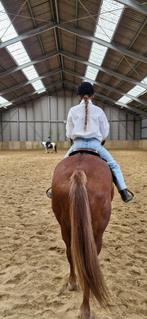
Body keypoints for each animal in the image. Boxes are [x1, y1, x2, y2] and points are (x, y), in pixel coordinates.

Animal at [50, 151, 113, 319]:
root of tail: (79, 172)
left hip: (65, 227)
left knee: (70, 252)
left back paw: (72, 283)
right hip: (96, 235)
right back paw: (85, 308)